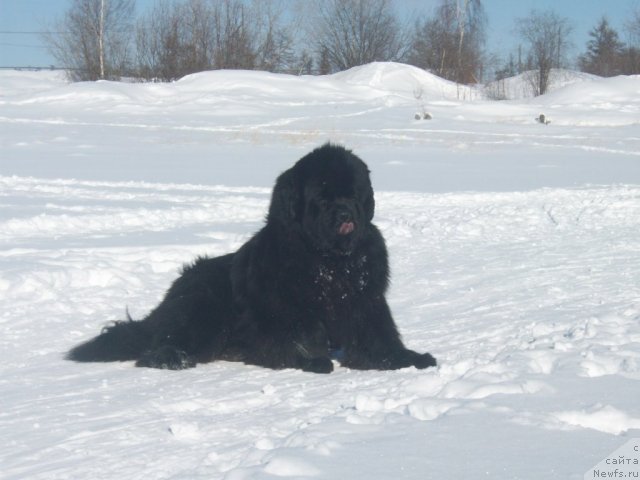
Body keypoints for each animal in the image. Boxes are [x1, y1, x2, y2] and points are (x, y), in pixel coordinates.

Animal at [69, 144, 436, 374]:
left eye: (354, 194)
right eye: (321, 198)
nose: (345, 213)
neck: (328, 263)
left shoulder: (365, 303)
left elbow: (379, 337)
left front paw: (410, 357)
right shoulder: (287, 310)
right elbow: (295, 338)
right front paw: (310, 360)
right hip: (203, 306)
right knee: (159, 347)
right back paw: (174, 358)